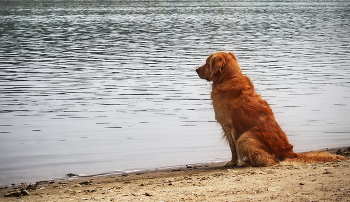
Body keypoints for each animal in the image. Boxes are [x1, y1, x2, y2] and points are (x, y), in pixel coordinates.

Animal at [196, 52, 346, 167]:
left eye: (207, 63)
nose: (196, 69)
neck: (229, 78)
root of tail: (288, 152)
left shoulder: (227, 125)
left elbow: (233, 148)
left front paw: (234, 162)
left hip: (246, 136)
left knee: (271, 160)